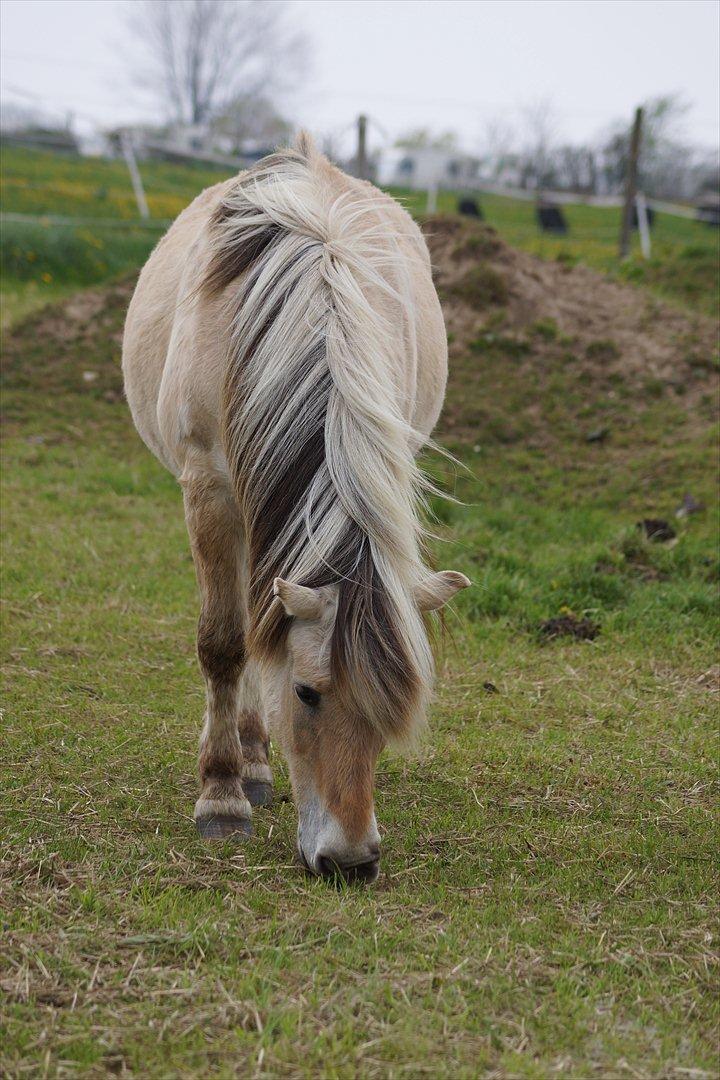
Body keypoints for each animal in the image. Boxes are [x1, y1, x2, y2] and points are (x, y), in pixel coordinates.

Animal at [122, 132, 472, 885]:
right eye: (308, 693)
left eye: (395, 704)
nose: (351, 860)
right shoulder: (209, 489)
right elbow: (225, 642)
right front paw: (221, 796)